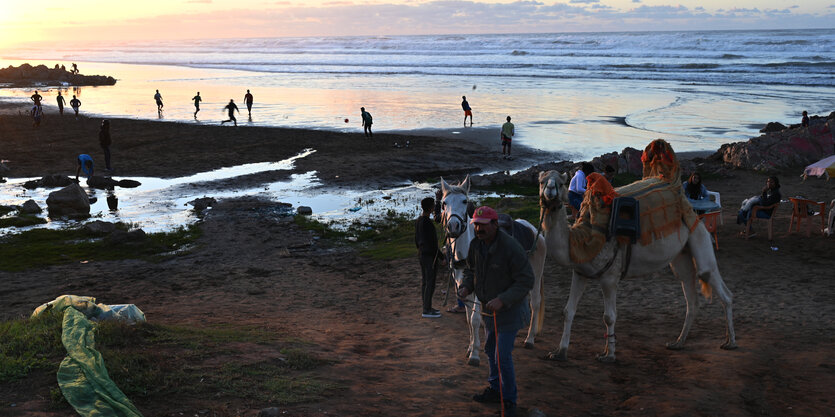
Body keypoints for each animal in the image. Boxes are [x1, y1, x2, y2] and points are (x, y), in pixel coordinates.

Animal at [438, 174, 548, 366]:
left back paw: (530, 339)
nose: (453, 226)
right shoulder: (464, 288)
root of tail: (534, 230)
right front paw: (470, 347)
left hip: (535, 275)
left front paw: (475, 355)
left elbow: (475, 320)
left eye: (464, 201)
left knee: (535, 303)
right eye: (444, 203)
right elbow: (469, 319)